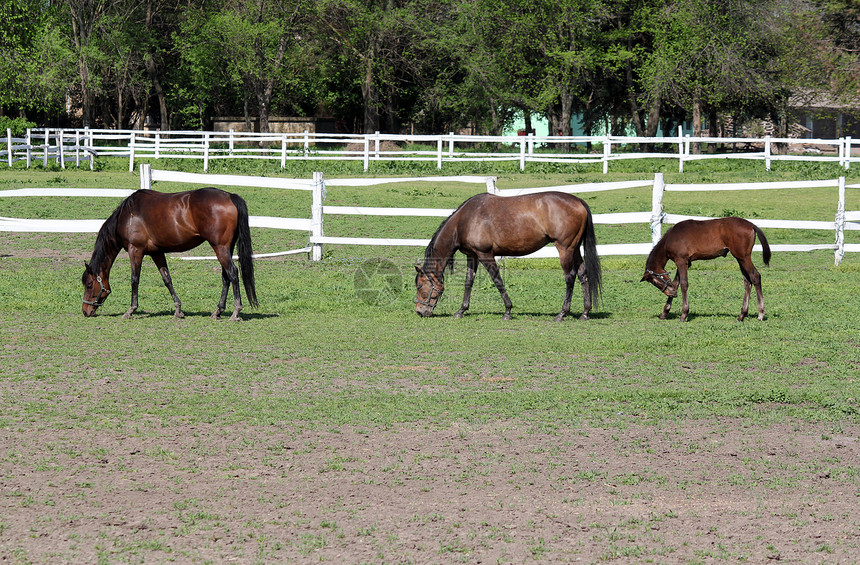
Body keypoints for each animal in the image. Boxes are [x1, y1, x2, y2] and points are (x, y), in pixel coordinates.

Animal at [82, 188, 256, 320]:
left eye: (89, 284)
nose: (85, 311)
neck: (127, 215)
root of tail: (230, 196)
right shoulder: (157, 252)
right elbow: (167, 279)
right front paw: (178, 310)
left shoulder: (135, 250)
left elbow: (134, 279)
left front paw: (130, 310)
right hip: (226, 248)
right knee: (226, 277)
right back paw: (218, 311)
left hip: (220, 247)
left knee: (232, 273)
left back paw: (236, 311)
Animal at [414, 191, 600, 320]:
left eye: (420, 287)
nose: (420, 311)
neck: (464, 220)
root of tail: (578, 201)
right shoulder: (472, 256)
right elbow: (468, 282)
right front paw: (461, 310)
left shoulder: (485, 255)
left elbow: (497, 280)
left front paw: (508, 310)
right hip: (574, 249)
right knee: (583, 274)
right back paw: (585, 312)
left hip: (565, 249)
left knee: (570, 277)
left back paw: (562, 313)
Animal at [640, 216, 772, 322]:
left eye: (655, 282)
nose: (672, 294)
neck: (670, 239)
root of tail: (751, 225)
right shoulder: (685, 262)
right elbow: (676, 283)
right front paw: (665, 312)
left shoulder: (681, 261)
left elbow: (683, 284)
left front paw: (684, 314)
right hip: (740, 258)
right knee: (747, 281)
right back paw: (742, 315)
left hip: (743, 257)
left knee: (755, 276)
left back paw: (760, 314)